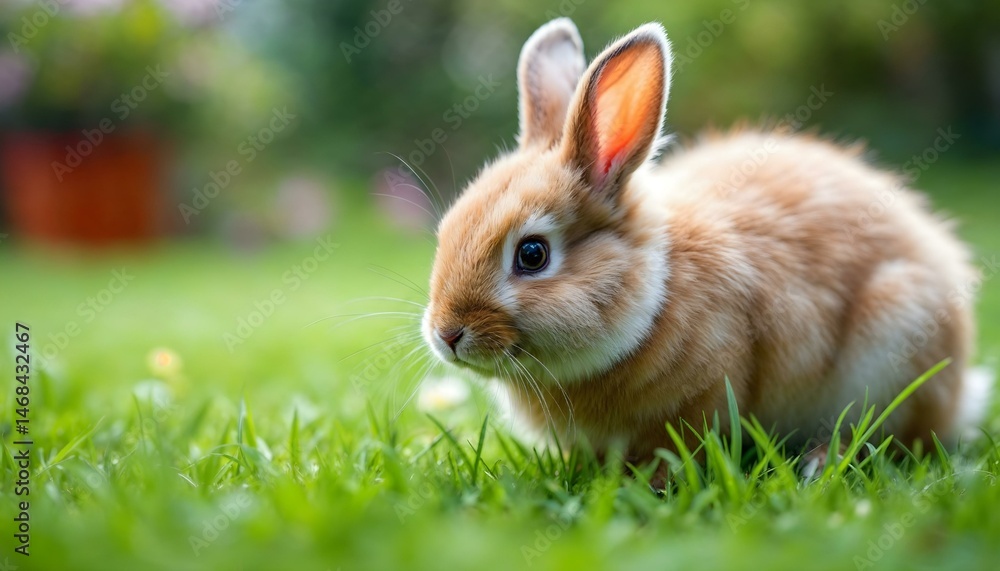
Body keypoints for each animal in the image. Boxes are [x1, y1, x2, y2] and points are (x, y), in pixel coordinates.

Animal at [420, 18, 986, 464]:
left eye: (532, 254)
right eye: (446, 232)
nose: (447, 334)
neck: (655, 293)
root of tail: (961, 394)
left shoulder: (713, 388)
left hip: (896, 340)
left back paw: (821, 461)